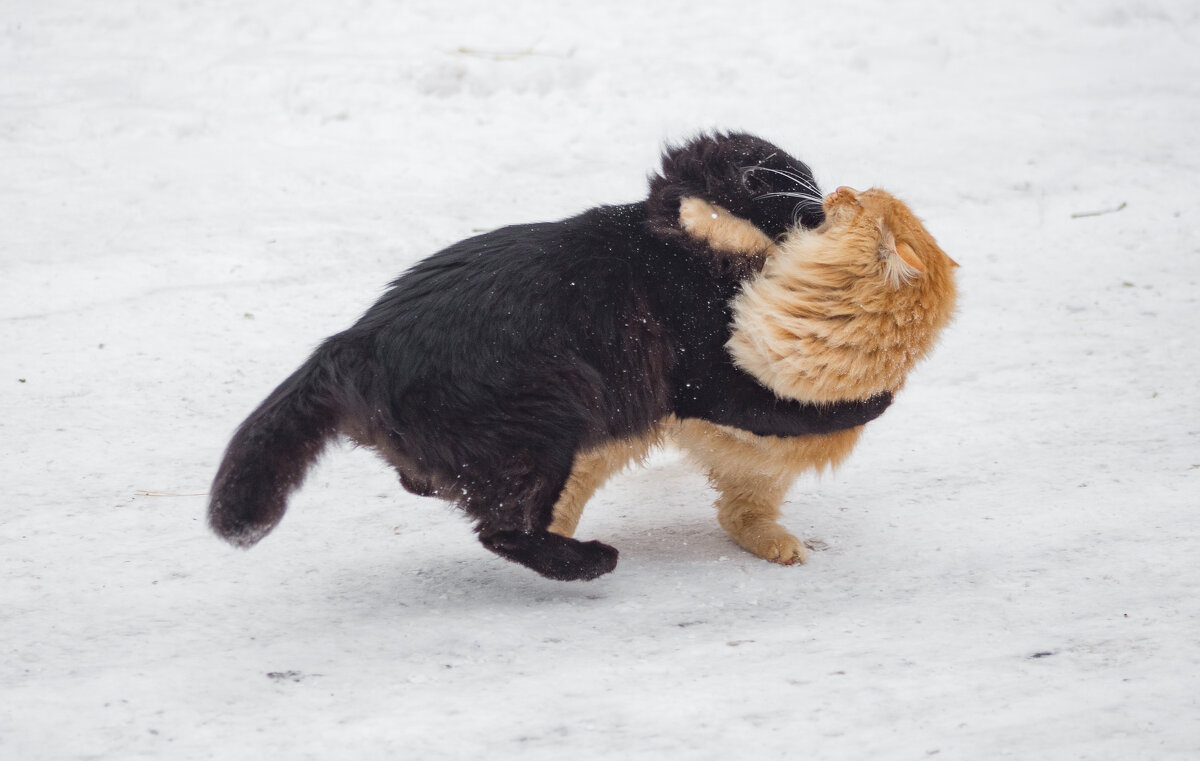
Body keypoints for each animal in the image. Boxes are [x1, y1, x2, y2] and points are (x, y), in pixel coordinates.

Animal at [206, 133, 888, 578]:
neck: (682, 236)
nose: (832, 200)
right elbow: (786, 405)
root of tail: (351, 343)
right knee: (503, 530)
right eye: (805, 187)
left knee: (436, 486)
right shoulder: (706, 369)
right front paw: (873, 401)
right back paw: (588, 562)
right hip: (547, 422)